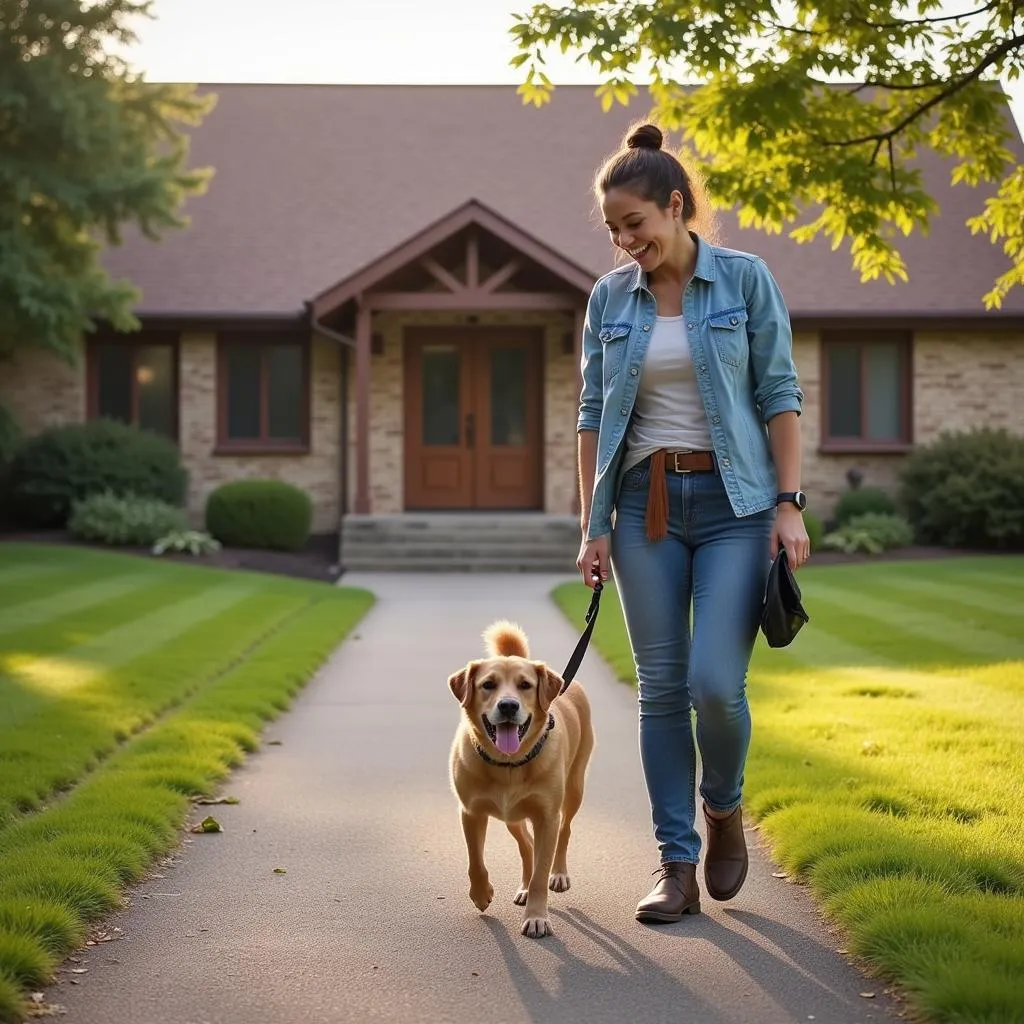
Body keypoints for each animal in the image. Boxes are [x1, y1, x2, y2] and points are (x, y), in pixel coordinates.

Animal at [446, 618, 598, 937]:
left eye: (525, 685)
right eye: (488, 685)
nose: (508, 705)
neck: (509, 765)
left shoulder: (547, 817)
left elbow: (541, 871)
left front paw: (537, 916)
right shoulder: (470, 811)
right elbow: (475, 858)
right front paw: (481, 894)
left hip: (574, 788)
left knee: (564, 831)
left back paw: (559, 873)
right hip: (512, 817)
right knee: (526, 844)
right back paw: (524, 886)